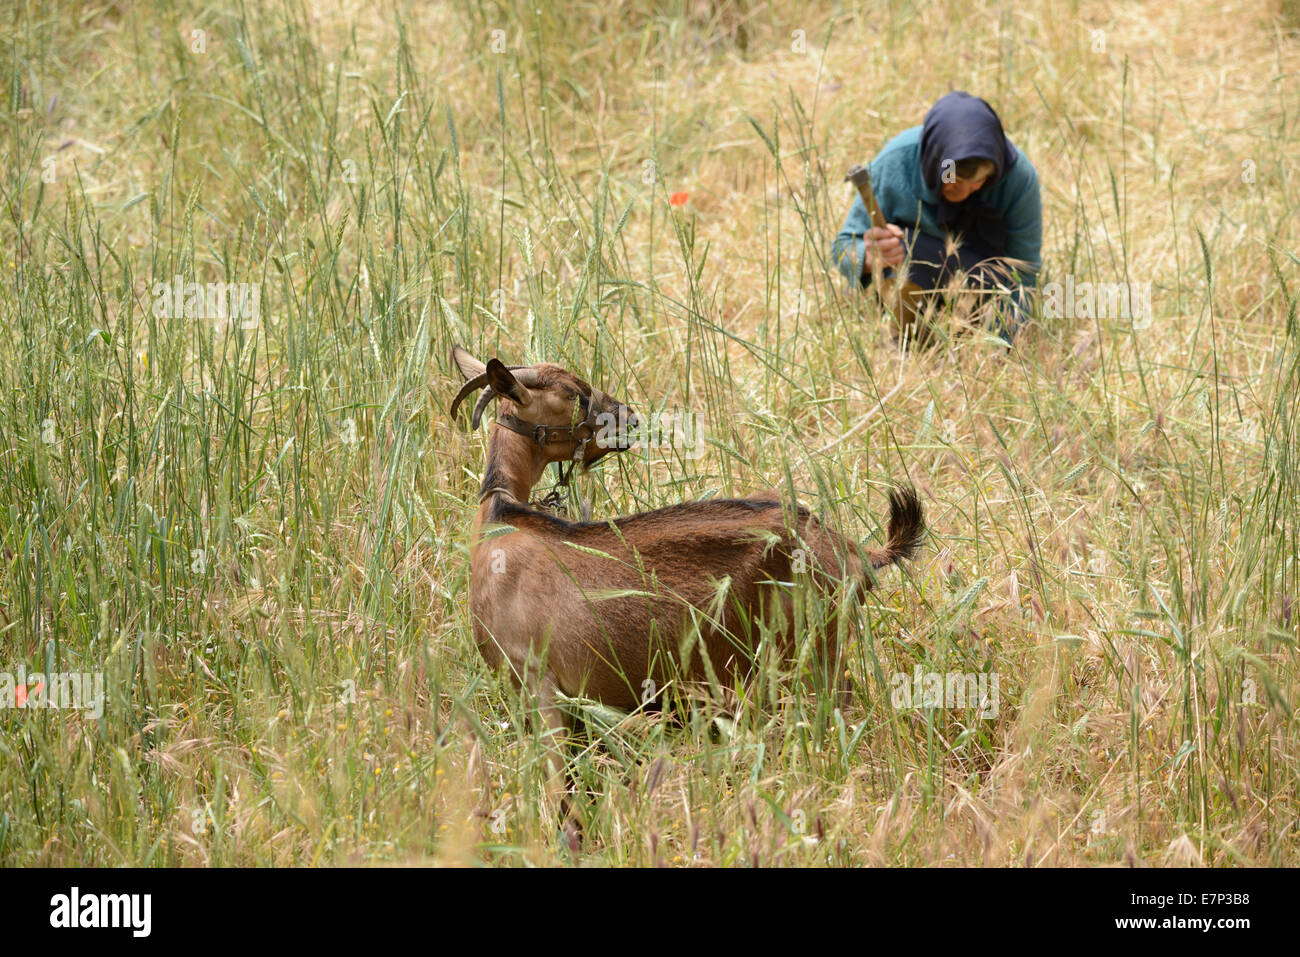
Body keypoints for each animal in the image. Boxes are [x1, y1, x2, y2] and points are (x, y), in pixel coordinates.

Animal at [452, 343, 920, 806]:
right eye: (575, 394)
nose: (630, 419)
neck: (500, 519)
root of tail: (854, 551)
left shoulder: (539, 686)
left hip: (813, 658)